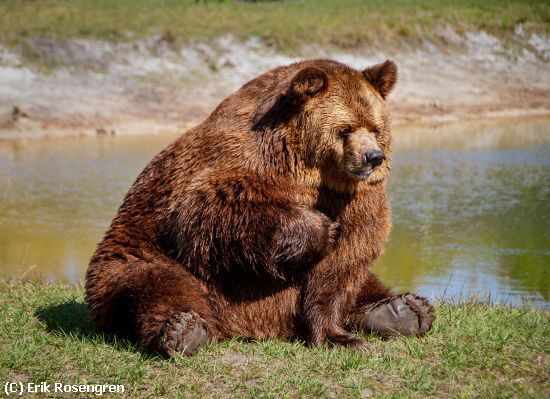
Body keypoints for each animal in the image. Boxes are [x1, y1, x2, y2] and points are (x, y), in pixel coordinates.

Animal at [84, 59, 436, 356]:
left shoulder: (356, 200)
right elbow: (211, 212)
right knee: (153, 283)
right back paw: (183, 329)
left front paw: (340, 336)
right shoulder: (239, 163)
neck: (305, 167)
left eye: (376, 127)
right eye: (345, 129)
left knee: (365, 283)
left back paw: (404, 310)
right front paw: (320, 229)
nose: (373, 157)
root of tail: (245, 328)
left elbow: (342, 265)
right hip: (137, 251)